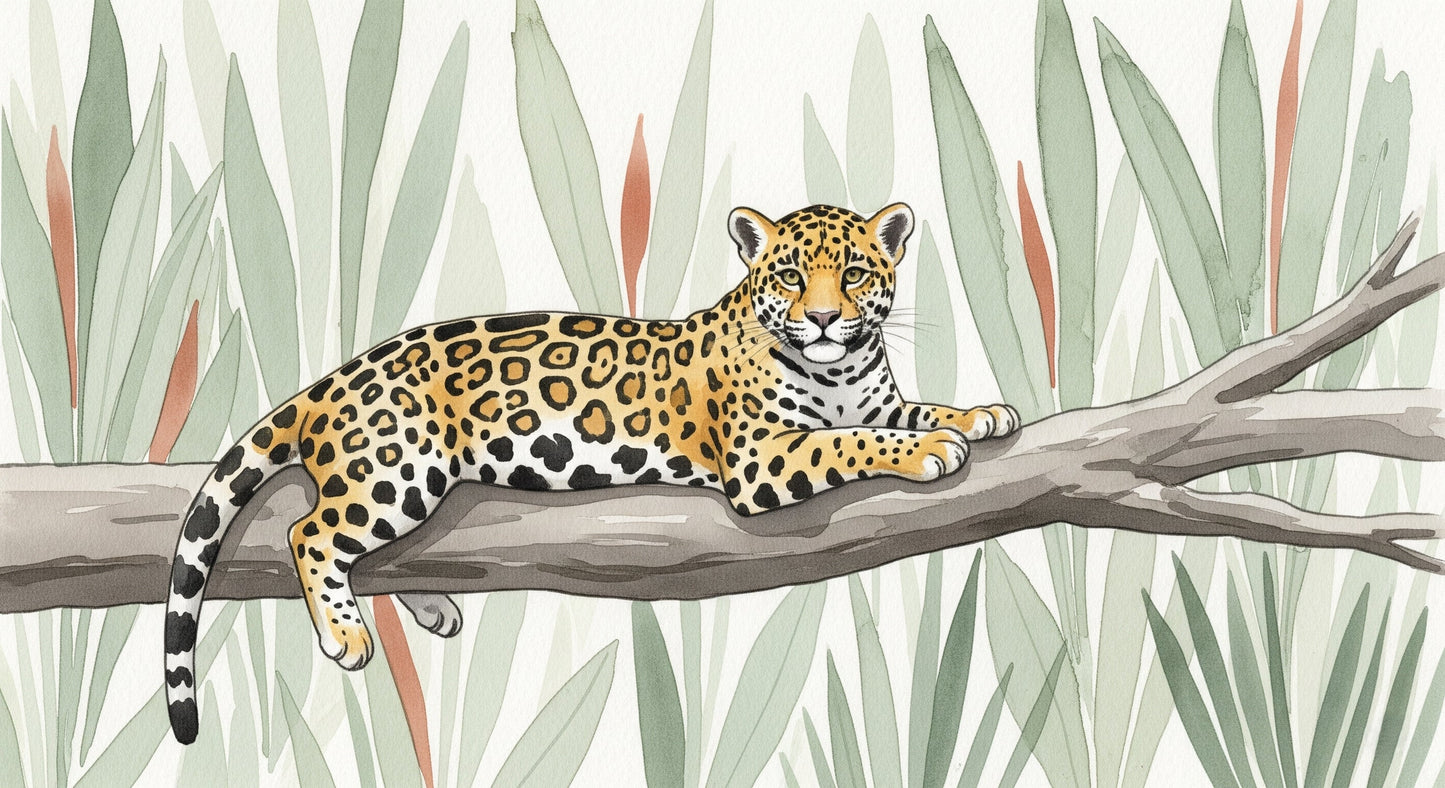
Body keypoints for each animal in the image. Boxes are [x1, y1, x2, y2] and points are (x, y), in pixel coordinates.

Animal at [164, 202, 1020, 743]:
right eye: (787, 278)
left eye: (853, 274)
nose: (821, 320)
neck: (840, 369)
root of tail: (334, 379)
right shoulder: (760, 455)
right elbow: (850, 443)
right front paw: (927, 452)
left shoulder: (874, 400)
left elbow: (914, 409)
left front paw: (979, 414)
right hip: (398, 470)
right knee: (312, 531)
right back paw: (346, 633)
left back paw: (432, 606)